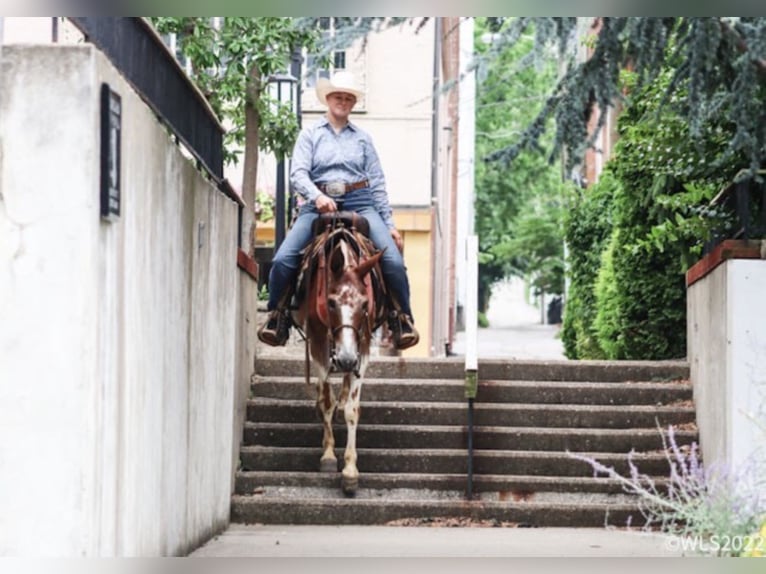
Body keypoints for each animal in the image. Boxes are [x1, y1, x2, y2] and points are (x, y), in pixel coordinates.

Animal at [294, 214, 390, 498]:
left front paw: (350, 471)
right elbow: (326, 400)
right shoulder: (317, 343)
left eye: (364, 304)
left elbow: (351, 409)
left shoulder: (363, 346)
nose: (346, 359)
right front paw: (328, 456)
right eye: (331, 302)